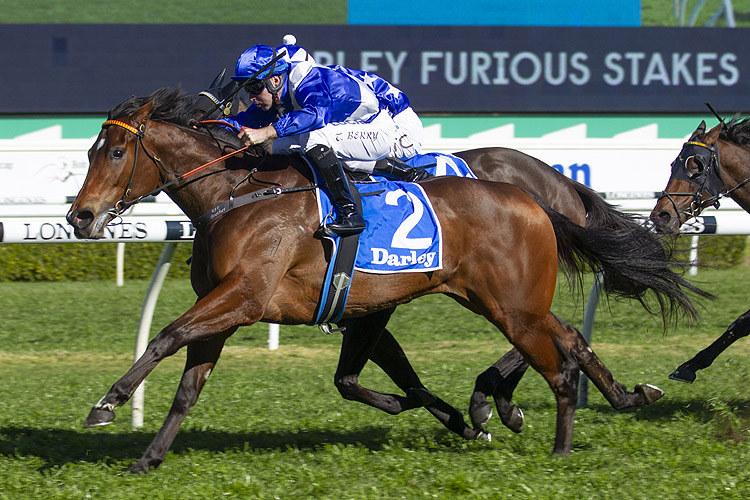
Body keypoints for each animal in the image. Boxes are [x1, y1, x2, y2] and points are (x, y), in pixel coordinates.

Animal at [66, 90, 704, 472]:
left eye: (116, 151)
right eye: (92, 150)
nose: (80, 217)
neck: (240, 194)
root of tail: (539, 193)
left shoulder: (244, 298)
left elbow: (165, 336)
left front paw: (107, 403)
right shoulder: (280, 305)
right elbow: (191, 386)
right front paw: (149, 456)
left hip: (512, 305)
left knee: (557, 354)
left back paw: (529, 421)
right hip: (507, 299)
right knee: (570, 336)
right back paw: (619, 396)